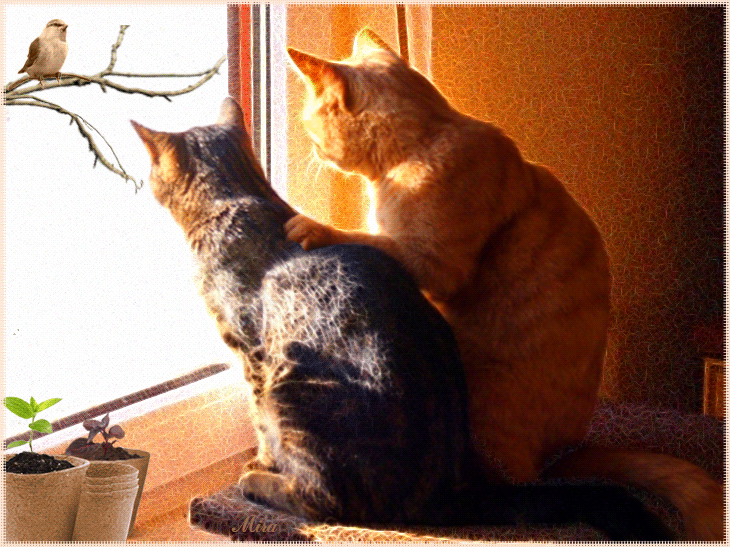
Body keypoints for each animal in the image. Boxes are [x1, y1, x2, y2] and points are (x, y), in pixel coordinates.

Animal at [132, 97, 674, 539]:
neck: (241, 197)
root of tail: (449, 489)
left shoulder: (252, 353)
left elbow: (259, 422)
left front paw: (263, 461)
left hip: (295, 384)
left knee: (324, 501)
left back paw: (258, 483)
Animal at [285, 30, 723, 540]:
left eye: (309, 126)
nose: (313, 152)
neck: (417, 146)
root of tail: (562, 457)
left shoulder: (433, 265)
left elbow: (367, 241)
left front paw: (311, 225)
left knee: (500, 487)